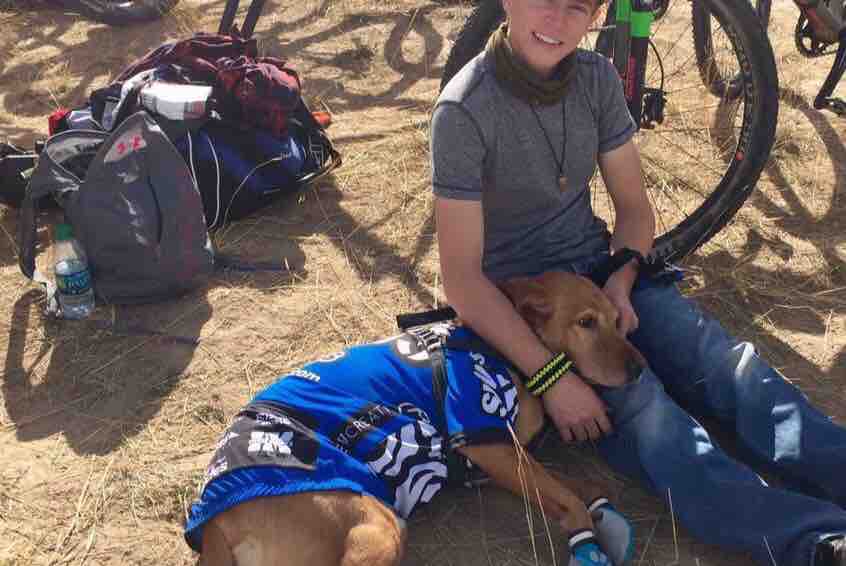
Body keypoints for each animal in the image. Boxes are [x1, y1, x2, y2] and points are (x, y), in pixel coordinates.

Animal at [185, 271, 647, 566]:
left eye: (615, 319)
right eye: (586, 322)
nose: (640, 369)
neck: (507, 352)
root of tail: (215, 524)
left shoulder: (509, 460)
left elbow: (577, 486)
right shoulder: (488, 444)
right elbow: (569, 498)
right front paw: (587, 543)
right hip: (376, 525)